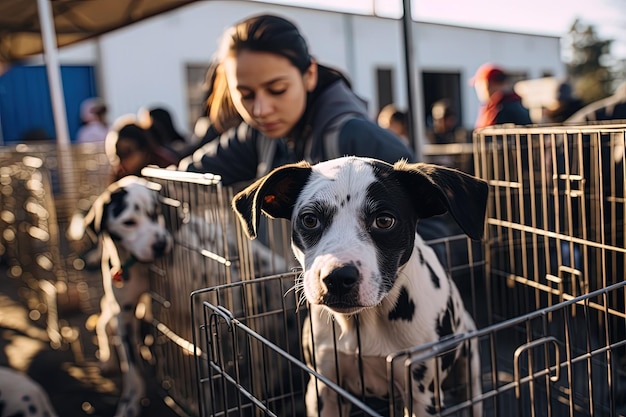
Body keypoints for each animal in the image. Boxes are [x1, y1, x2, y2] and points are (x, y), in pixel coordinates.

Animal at [82, 175, 173, 416]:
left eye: (155, 212)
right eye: (129, 222)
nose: (161, 245)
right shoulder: (124, 315)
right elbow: (133, 370)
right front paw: (130, 403)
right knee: (103, 326)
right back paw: (109, 360)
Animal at [233, 156, 488, 416]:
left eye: (384, 220)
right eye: (310, 219)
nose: (338, 278)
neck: (362, 322)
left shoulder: (423, 396)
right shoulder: (323, 389)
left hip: (470, 369)